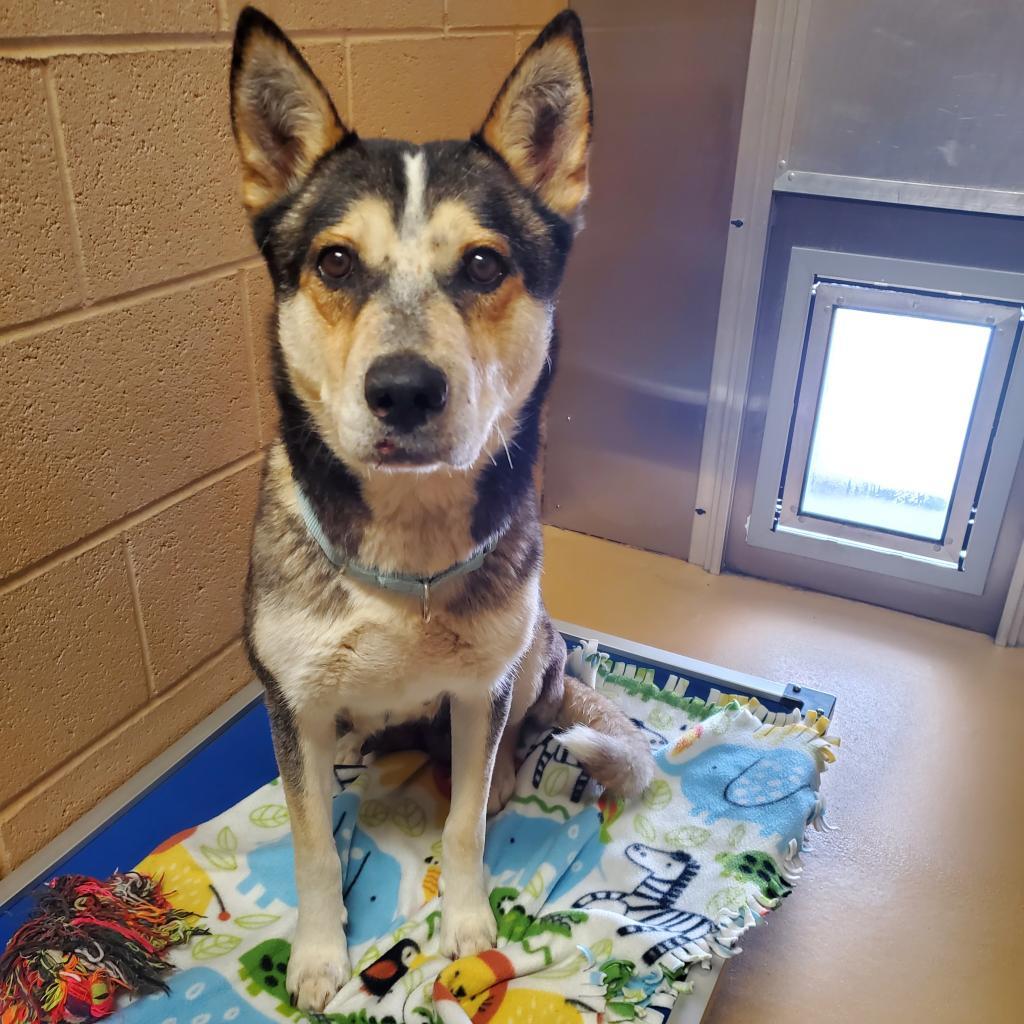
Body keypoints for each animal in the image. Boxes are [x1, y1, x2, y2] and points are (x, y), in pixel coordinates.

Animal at [230, 8, 655, 1011]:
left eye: (484, 263)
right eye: (335, 260)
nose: (404, 391)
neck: (407, 542)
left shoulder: (479, 688)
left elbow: (462, 823)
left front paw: (466, 925)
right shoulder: (294, 705)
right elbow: (311, 843)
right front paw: (319, 956)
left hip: (536, 652)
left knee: (515, 740)